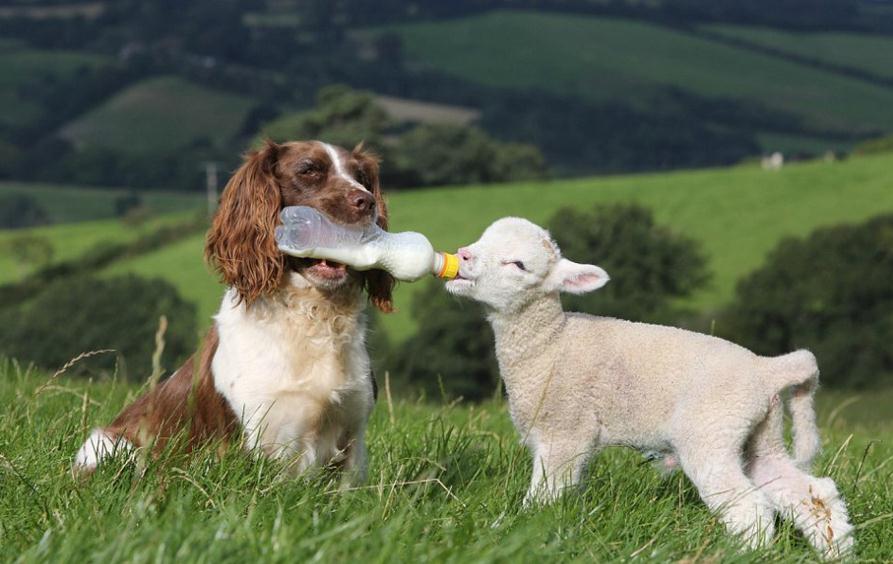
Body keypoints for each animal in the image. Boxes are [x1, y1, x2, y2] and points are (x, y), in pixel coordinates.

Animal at [69, 140, 390, 480]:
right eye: (308, 170)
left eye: (362, 177)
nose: (366, 203)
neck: (312, 315)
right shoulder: (256, 436)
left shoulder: (352, 434)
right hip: (111, 446)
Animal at [446, 217, 852, 560]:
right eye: (482, 238)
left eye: (518, 265)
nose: (463, 255)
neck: (551, 343)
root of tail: (767, 369)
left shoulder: (566, 431)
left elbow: (546, 493)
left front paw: (519, 530)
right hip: (760, 435)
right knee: (813, 494)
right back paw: (838, 551)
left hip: (711, 432)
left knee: (749, 506)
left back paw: (746, 553)